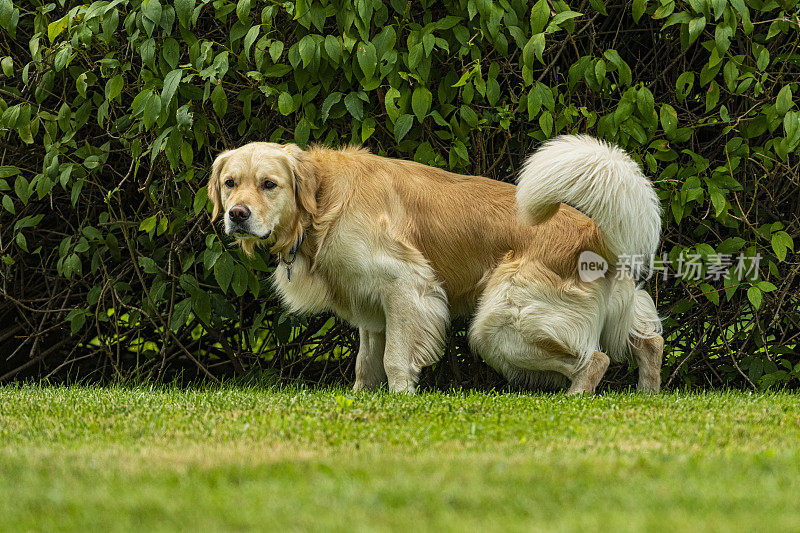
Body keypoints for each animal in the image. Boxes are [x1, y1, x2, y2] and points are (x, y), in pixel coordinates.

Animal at [206, 136, 664, 394]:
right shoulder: (370, 308)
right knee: (650, 341)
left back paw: (575, 399)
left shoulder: (407, 284)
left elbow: (394, 358)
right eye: (230, 183)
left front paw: (401, 398)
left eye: (269, 184)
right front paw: (359, 399)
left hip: (501, 326)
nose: (237, 215)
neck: (322, 201)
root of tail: (595, 233)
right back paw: (648, 394)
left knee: (597, 359)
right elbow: (365, 363)